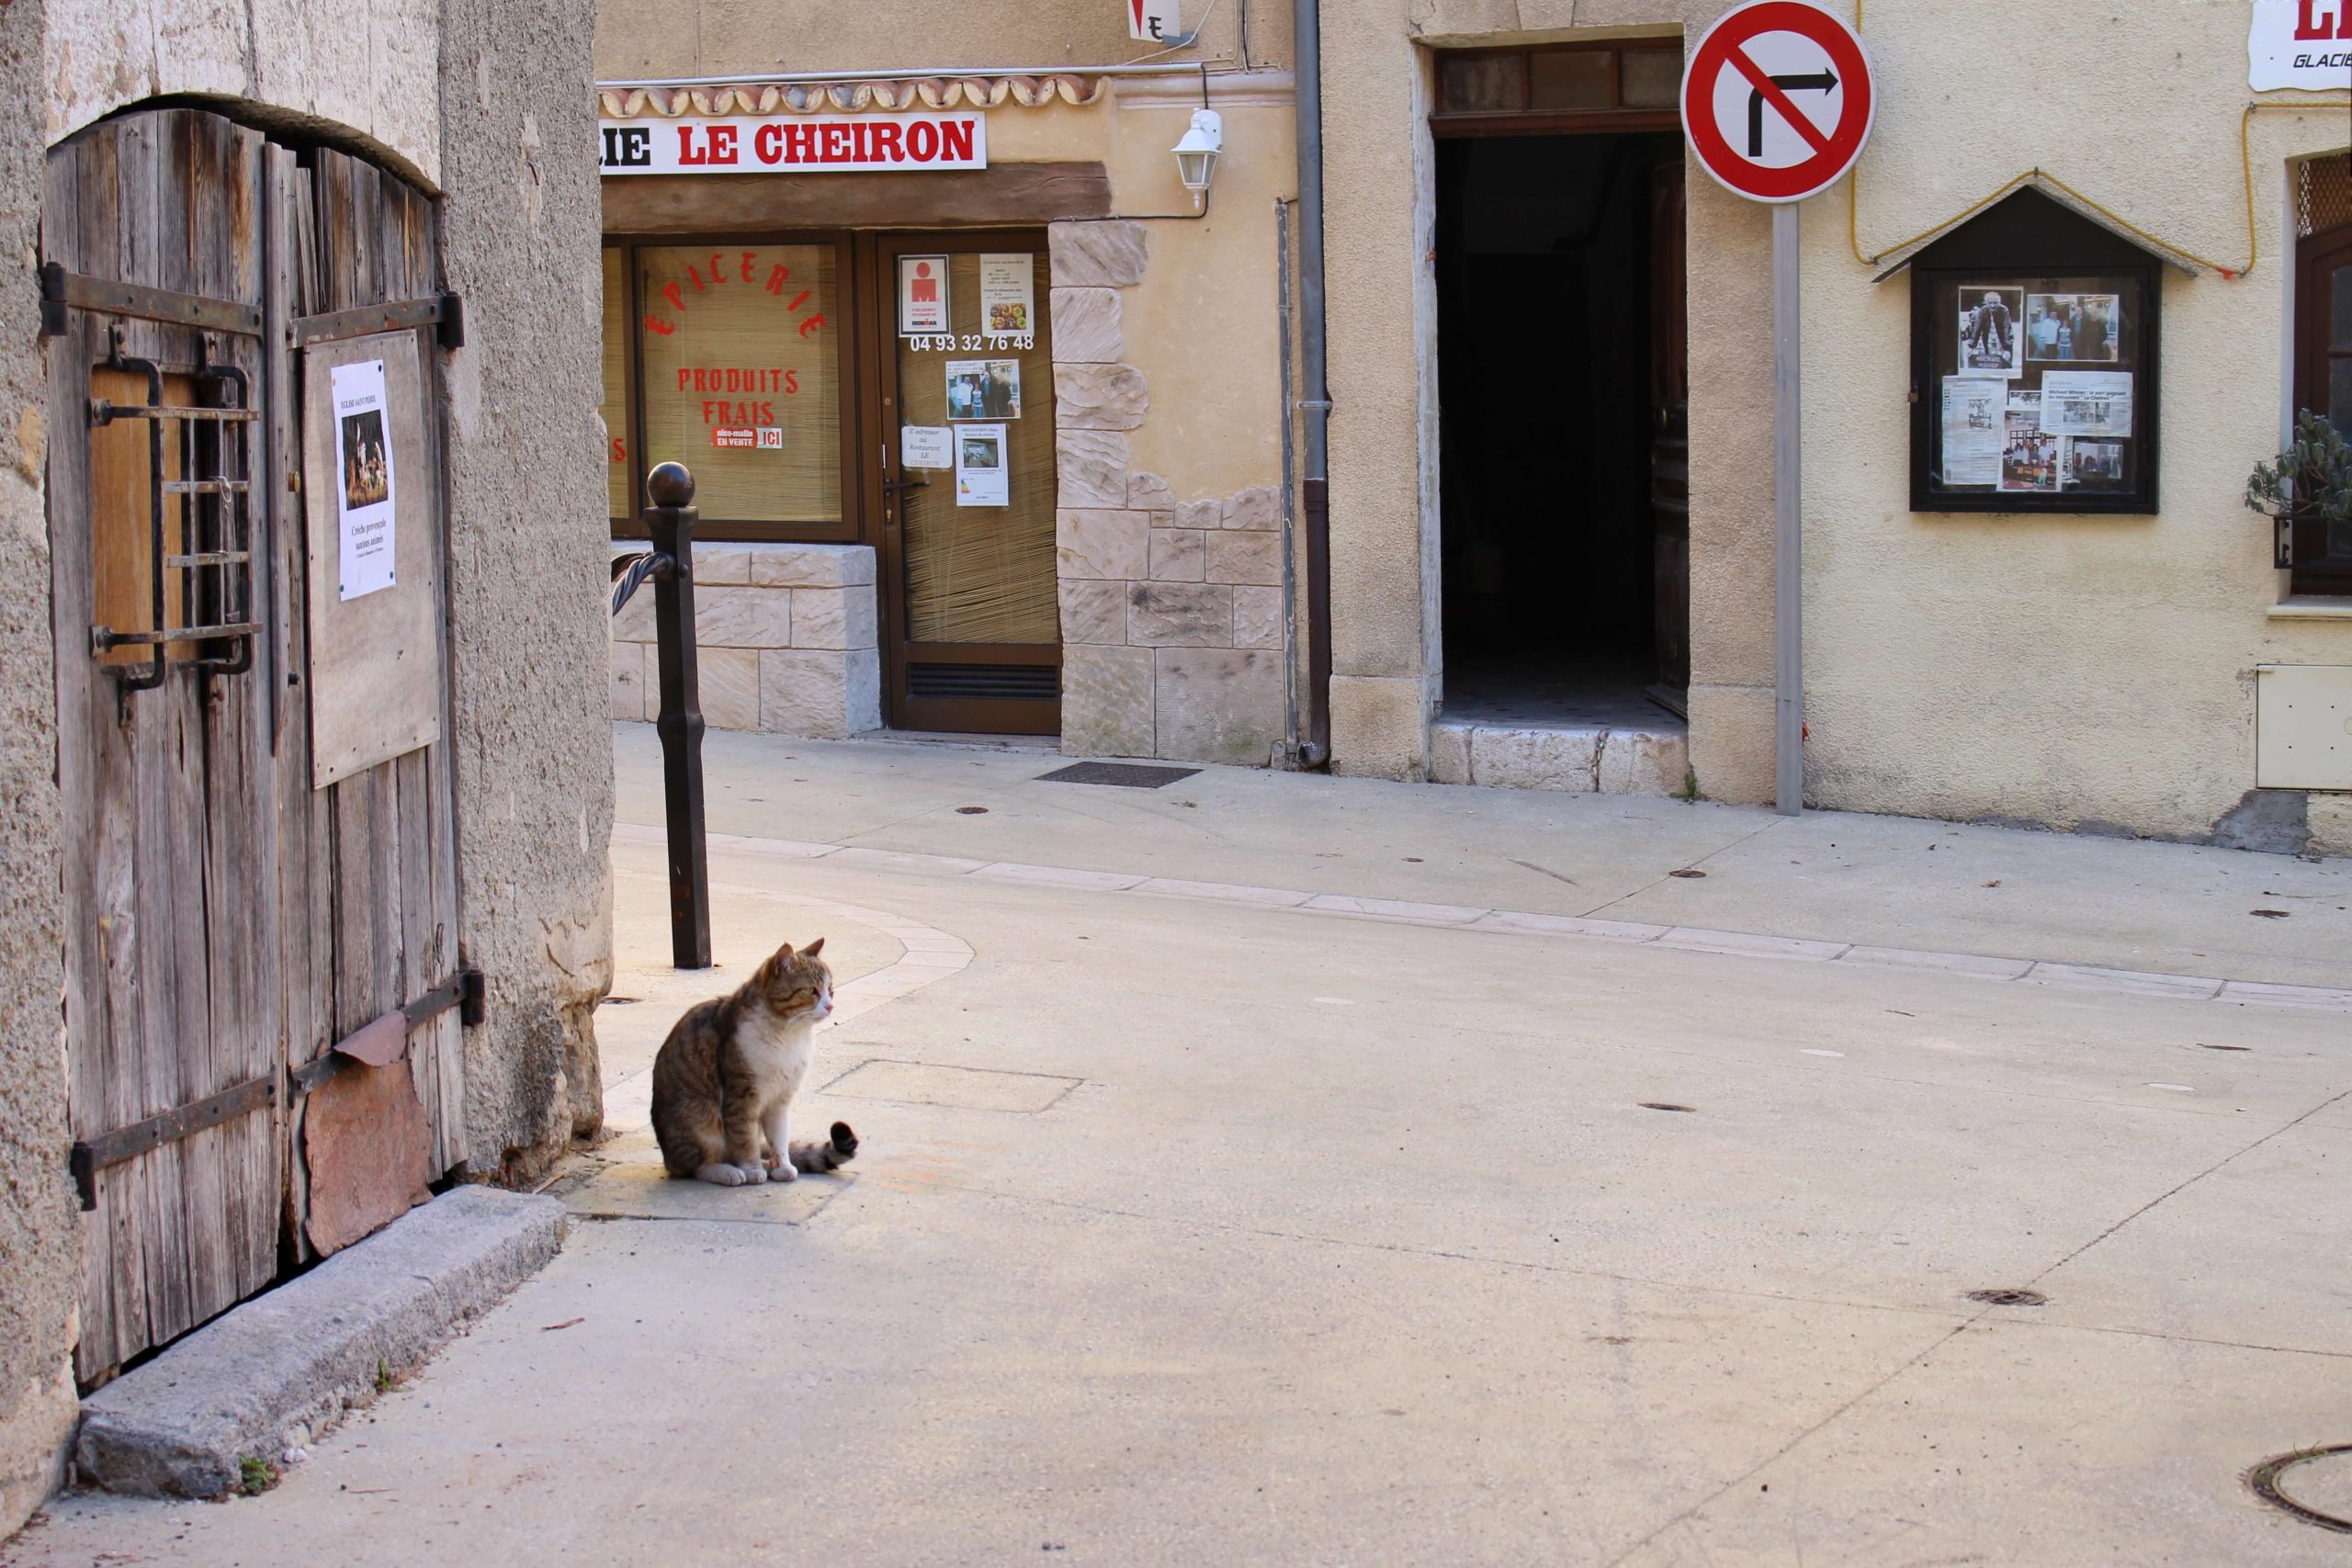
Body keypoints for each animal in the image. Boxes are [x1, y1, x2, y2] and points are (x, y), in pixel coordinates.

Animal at [649, 940, 860, 1184]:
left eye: (830, 989)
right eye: (812, 991)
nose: (830, 1006)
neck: (789, 1036)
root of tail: (667, 1155)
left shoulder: (781, 1098)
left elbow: (779, 1138)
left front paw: (781, 1166)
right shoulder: (742, 1097)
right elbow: (745, 1138)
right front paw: (752, 1169)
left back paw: (765, 1165)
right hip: (698, 1120)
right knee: (696, 1165)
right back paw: (728, 1171)